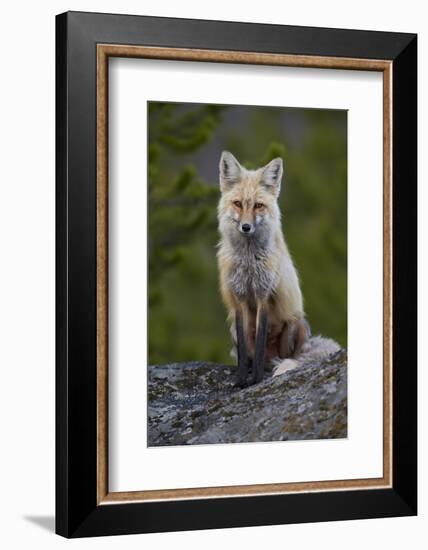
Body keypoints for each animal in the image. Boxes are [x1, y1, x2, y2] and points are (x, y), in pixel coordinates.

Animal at [217, 149, 310, 386]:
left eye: (258, 205)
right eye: (238, 203)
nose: (246, 227)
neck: (249, 261)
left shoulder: (263, 295)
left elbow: (259, 343)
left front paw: (256, 379)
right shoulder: (239, 297)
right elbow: (245, 348)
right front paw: (241, 378)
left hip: (294, 322)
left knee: (284, 357)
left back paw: (272, 368)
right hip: (231, 327)